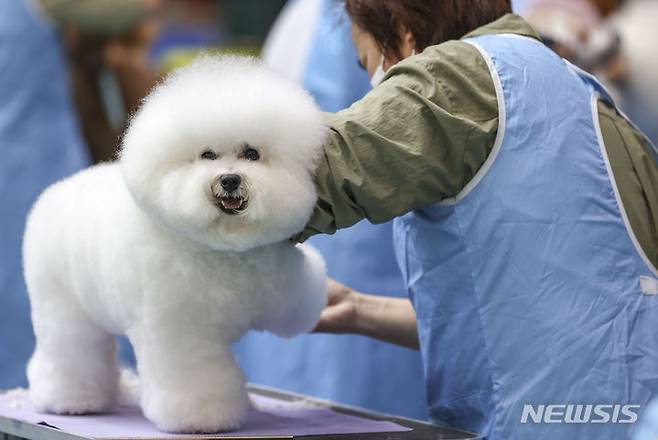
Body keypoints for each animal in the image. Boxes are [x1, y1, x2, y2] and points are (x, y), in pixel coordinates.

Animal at [22, 57, 328, 434]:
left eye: (252, 154)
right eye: (207, 155)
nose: (229, 180)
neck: (224, 251)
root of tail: (54, 193)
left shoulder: (278, 283)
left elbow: (294, 305)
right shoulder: (183, 329)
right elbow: (194, 376)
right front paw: (203, 418)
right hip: (62, 308)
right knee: (72, 352)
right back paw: (71, 400)